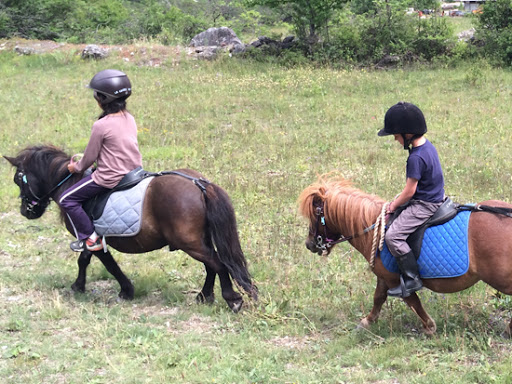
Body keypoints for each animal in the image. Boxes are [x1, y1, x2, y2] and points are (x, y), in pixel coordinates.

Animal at [4, 146, 258, 310]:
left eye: (18, 179)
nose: (26, 211)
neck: (70, 183)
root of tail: (199, 184)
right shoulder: (90, 237)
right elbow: (85, 259)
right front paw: (79, 286)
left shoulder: (92, 238)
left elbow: (106, 264)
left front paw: (125, 290)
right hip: (198, 240)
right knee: (211, 265)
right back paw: (204, 296)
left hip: (189, 242)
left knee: (217, 263)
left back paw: (232, 299)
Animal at [300, 176, 512, 334]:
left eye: (315, 215)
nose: (309, 244)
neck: (374, 227)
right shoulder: (384, 277)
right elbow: (378, 298)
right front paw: (368, 321)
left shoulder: (394, 280)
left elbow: (412, 301)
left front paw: (429, 326)